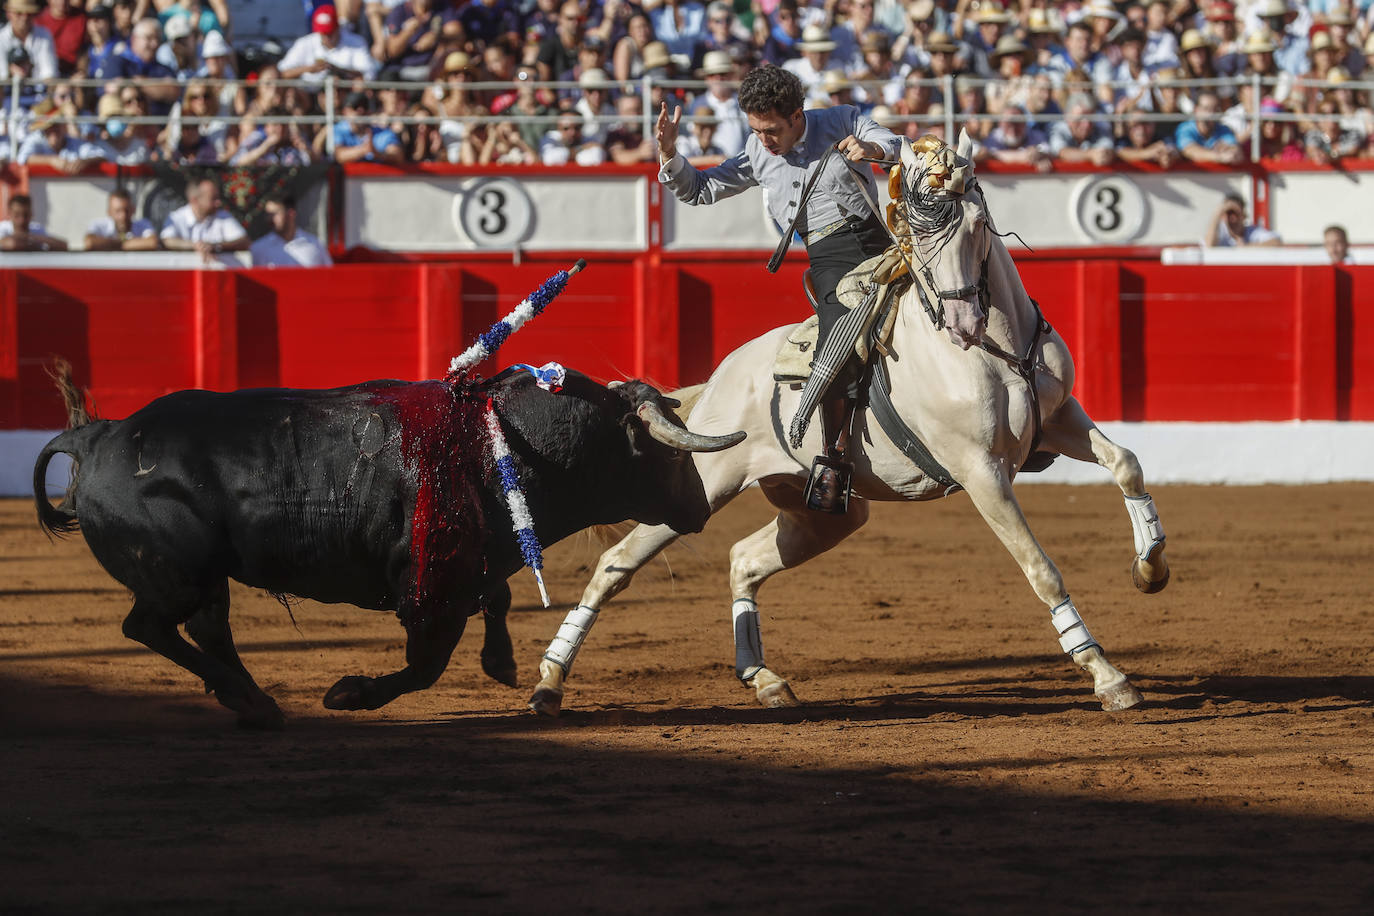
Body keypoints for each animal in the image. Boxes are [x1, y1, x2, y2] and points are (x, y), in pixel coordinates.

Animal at [32, 368, 741, 730]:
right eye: (664, 452)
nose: (699, 506)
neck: (509, 440)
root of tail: (100, 437)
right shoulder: (431, 589)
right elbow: (426, 663)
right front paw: (349, 695)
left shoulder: (475, 565)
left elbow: (498, 597)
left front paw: (502, 665)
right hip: (178, 574)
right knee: (149, 626)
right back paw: (252, 700)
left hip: (207, 578)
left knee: (207, 630)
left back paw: (252, 702)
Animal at [524, 129, 1170, 714]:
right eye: (917, 232)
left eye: (977, 222)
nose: (962, 322)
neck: (996, 347)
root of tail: (722, 377)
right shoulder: (981, 471)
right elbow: (1042, 569)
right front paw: (1108, 677)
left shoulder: (1059, 418)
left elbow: (1128, 464)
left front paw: (1151, 569)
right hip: (703, 487)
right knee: (616, 563)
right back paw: (548, 682)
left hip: (825, 510)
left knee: (744, 559)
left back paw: (765, 680)